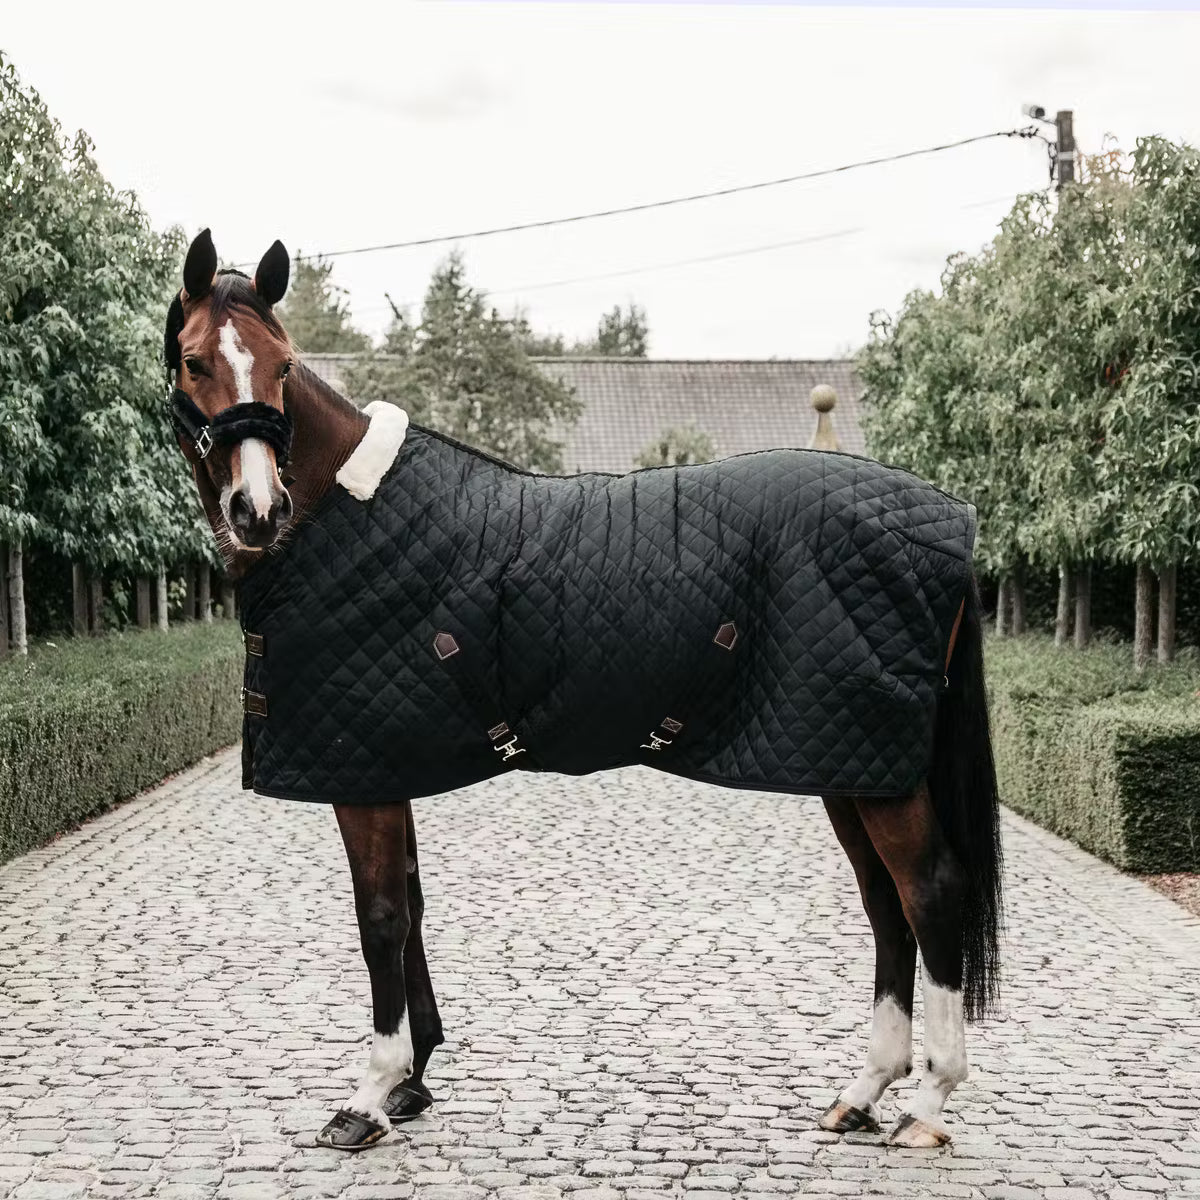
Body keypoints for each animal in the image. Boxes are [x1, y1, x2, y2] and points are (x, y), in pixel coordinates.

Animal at [164, 228, 1002, 1153]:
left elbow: (380, 917)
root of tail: (946, 522)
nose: (258, 508)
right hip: (849, 765)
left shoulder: (363, 776)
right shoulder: (388, 769)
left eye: (281, 366)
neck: (346, 510)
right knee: (885, 903)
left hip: (874, 770)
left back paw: (928, 1102)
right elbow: (412, 904)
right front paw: (415, 1081)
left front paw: (372, 1095)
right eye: (197, 361)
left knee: (929, 893)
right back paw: (864, 1090)